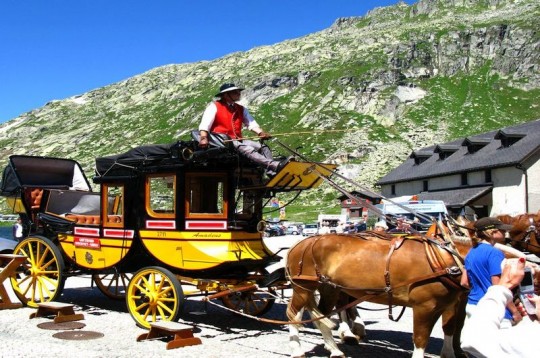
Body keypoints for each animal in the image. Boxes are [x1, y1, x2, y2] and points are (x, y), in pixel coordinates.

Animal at [286, 234, 468, 356]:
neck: (444, 259)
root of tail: (300, 244)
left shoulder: (447, 305)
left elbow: (449, 329)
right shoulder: (424, 307)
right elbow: (420, 339)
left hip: (329, 288)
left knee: (321, 317)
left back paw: (334, 350)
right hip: (303, 287)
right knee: (293, 315)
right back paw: (297, 349)